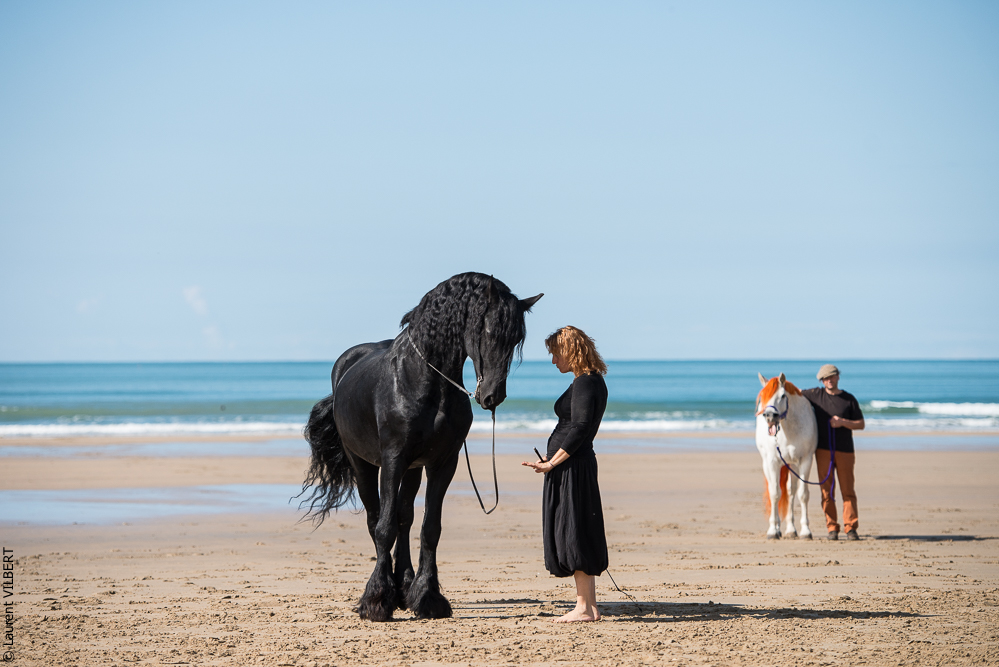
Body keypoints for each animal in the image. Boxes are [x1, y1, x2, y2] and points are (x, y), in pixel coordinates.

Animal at [298, 272, 542, 621]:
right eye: (489, 330)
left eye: (517, 340)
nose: (492, 396)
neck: (424, 378)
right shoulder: (393, 459)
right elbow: (383, 527)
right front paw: (376, 600)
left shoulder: (443, 462)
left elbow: (429, 528)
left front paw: (427, 597)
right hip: (362, 464)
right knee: (376, 518)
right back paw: (387, 590)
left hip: (412, 470)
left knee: (404, 517)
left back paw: (404, 586)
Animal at [755, 373, 818, 539]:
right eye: (763, 397)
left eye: (783, 395)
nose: (770, 416)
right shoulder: (772, 462)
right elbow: (775, 493)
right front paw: (772, 531)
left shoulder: (805, 461)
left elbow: (802, 494)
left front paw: (806, 531)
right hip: (767, 464)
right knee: (775, 490)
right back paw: (777, 528)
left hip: (792, 465)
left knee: (790, 492)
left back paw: (791, 530)